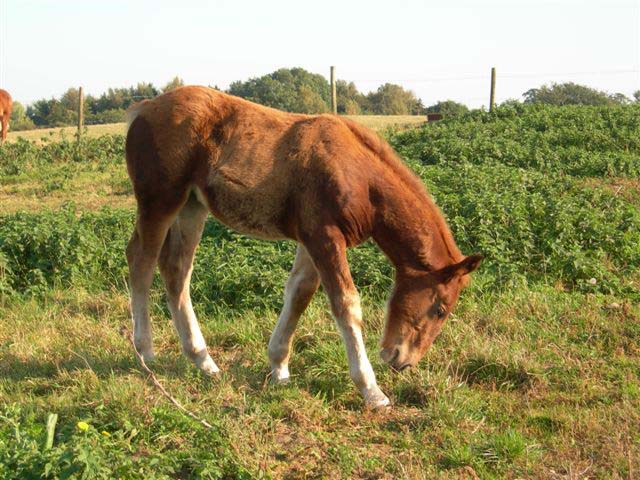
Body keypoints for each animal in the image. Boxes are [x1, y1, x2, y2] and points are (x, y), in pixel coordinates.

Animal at [125, 85, 480, 404]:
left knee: (176, 269)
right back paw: (145, 353)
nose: (402, 361)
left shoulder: (311, 239)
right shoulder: (325, 237)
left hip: (192, 206)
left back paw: (203, 360)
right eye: (440, 309)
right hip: (160, 202)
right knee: (141, 260)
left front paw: (279, 368)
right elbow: (346, 303)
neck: (359, 177)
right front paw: (371, 389)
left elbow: (299, 293)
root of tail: (143, 108)